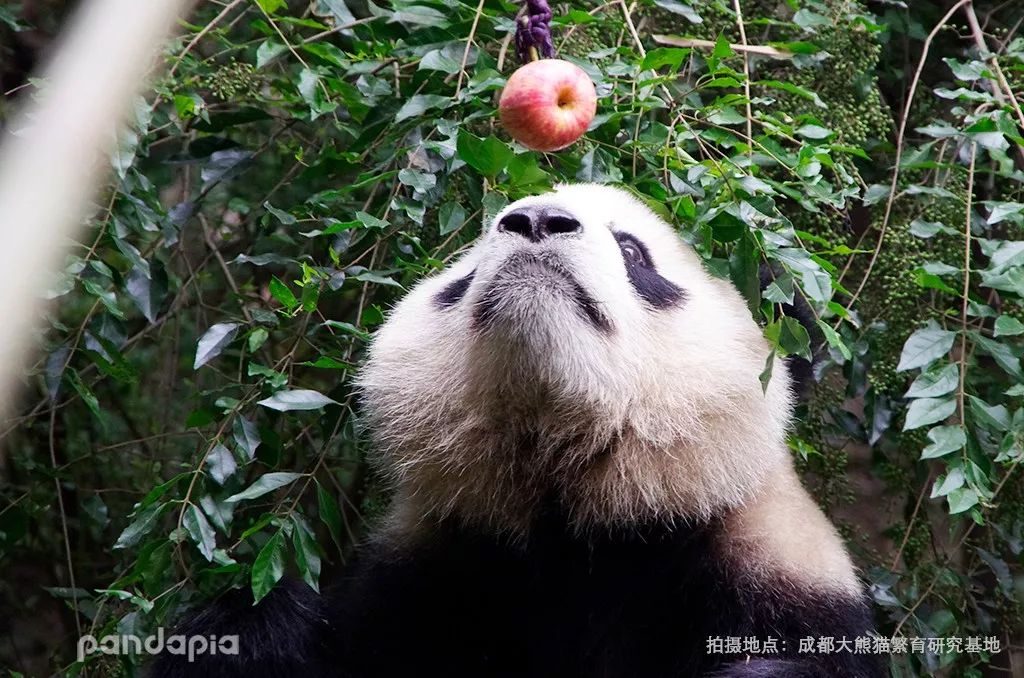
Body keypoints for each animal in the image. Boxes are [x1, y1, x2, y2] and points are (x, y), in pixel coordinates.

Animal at [149, 184, 880, 678]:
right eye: (468, 266)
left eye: (632, 250)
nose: (535, 220)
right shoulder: (434, 574)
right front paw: (250, 638)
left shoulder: (771, 578)